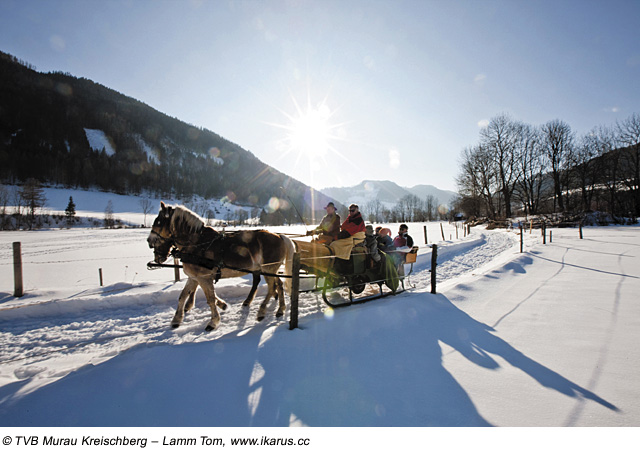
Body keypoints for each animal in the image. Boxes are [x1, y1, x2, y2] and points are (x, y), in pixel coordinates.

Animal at [148, 201, 296, 330]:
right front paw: (176, 320)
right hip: (270, 269)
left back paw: (262, 311)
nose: (149, 241)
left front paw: (213, 322)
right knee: (278, 285)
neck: (197, 244)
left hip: (268, 268)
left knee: (271, 288)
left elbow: (210, 299)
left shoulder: (204, 278)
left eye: (159, 222)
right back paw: (280, 309)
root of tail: (279, 236)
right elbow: (182, 296)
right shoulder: (193, 278)